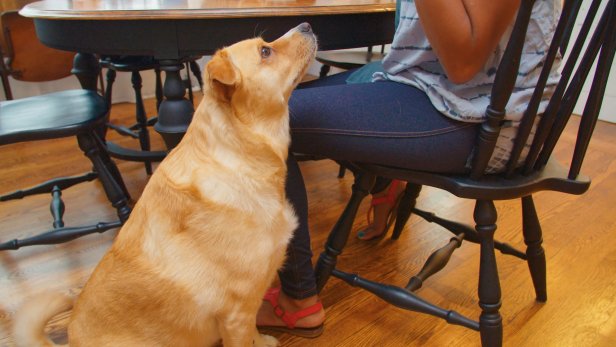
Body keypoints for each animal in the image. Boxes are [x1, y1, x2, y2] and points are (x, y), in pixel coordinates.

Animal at [14, 23, 318, 346]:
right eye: (265, 51)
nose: (306, 25)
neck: (240, 155)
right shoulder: (236, 315)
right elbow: (246, 338)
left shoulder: (248, 308)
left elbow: (254, 335)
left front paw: (262, 340)